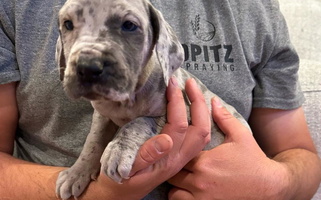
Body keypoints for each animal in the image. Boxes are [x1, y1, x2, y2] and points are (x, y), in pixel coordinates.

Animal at [55, 0, 250, 198]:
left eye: (129, 25)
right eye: (68, 24)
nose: (87, 67)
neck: (126, 101)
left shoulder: (182, 110)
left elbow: (139, 122)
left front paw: (119, 149)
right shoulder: (102, 115)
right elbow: (93, 140)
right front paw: (76, 172)